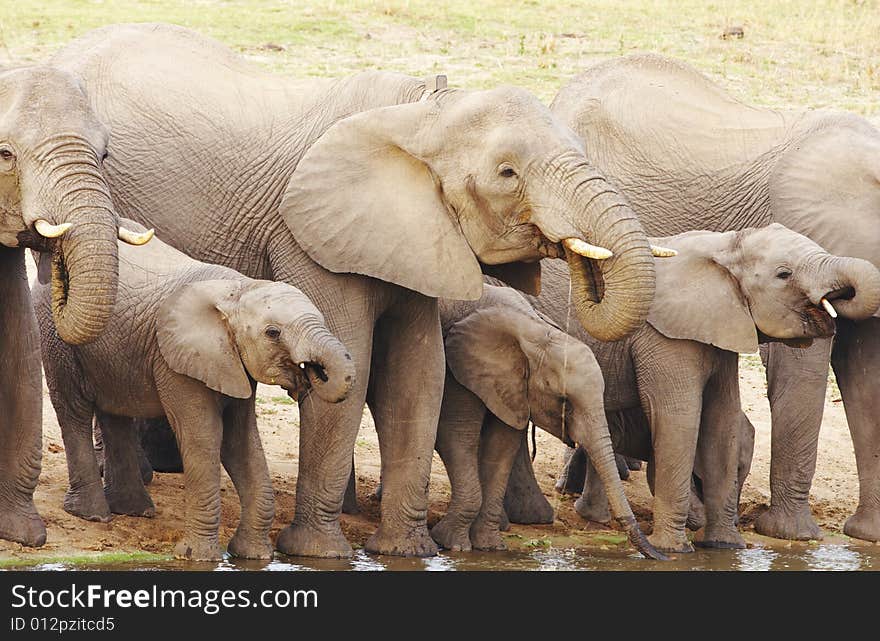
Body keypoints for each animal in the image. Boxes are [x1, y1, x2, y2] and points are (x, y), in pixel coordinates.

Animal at [35, 221, 354, 560]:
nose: (312, 372)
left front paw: (252, 556)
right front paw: (196, 556)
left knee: (115, 413)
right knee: (74, 410)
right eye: (273, 333)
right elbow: (203, 438)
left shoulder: (231, 364)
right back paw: (92, 514)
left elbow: (240, 444)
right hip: (57, 337)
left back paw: (134, 511)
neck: (239, 290)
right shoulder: (176, 361)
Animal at [436, 226, 880, 556]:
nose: (838, 299)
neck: (724, 244)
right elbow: (679, 417)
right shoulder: (662, 337)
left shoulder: (719, 328)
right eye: (784, 274)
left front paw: (725, 546)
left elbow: (721, 421)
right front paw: (674, 550)